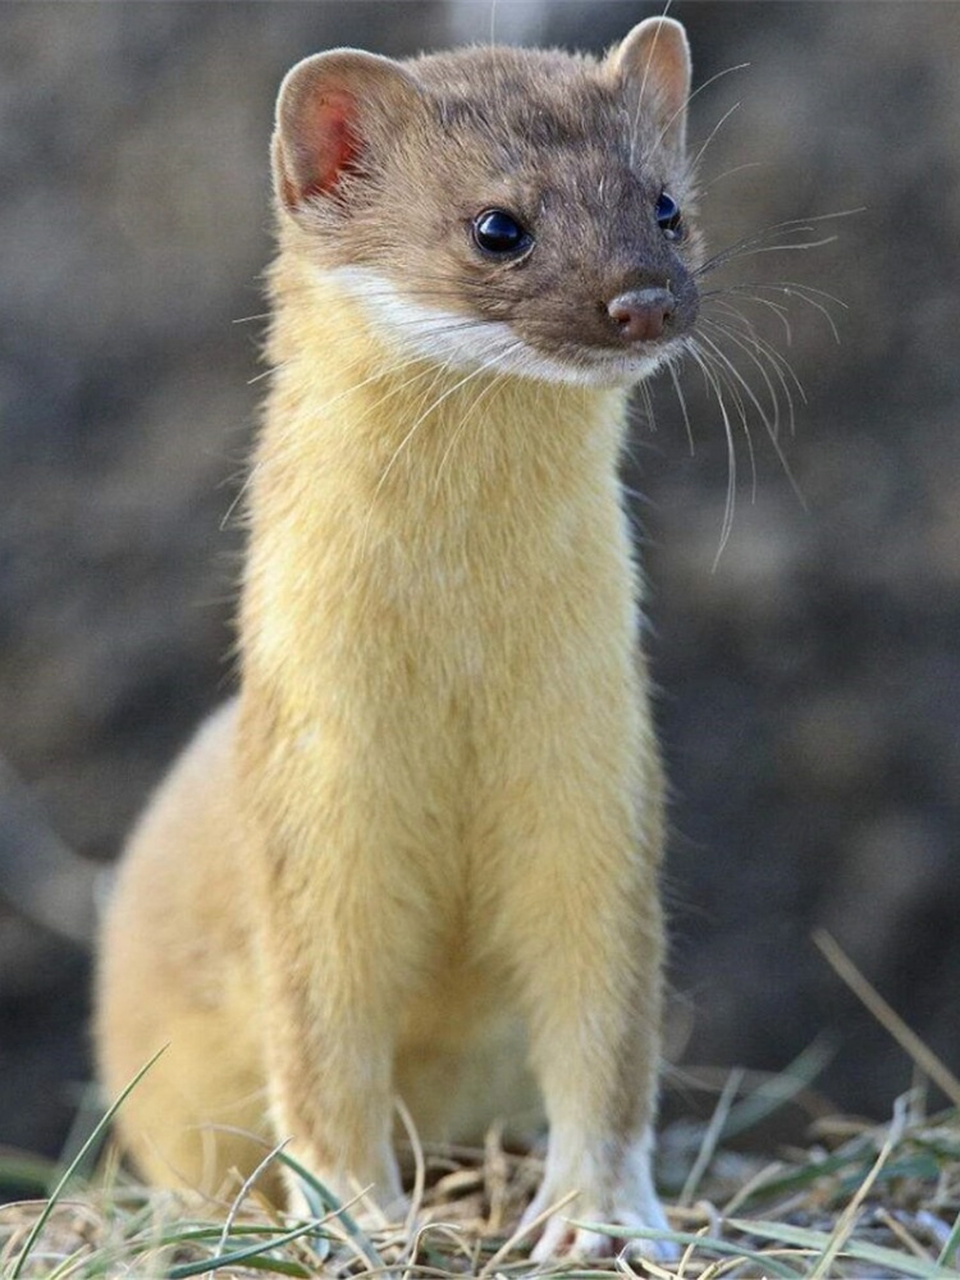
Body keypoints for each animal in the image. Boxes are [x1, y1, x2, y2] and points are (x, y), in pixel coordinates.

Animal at [94, 17, 701, 1259]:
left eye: (666, 203)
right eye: (498, 224)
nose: (646, 300)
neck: (459, 679)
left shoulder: (604, 772)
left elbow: (606, 1024)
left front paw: (600, 1215)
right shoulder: (313, 797)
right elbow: (322, 1040)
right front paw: (357, 1213)